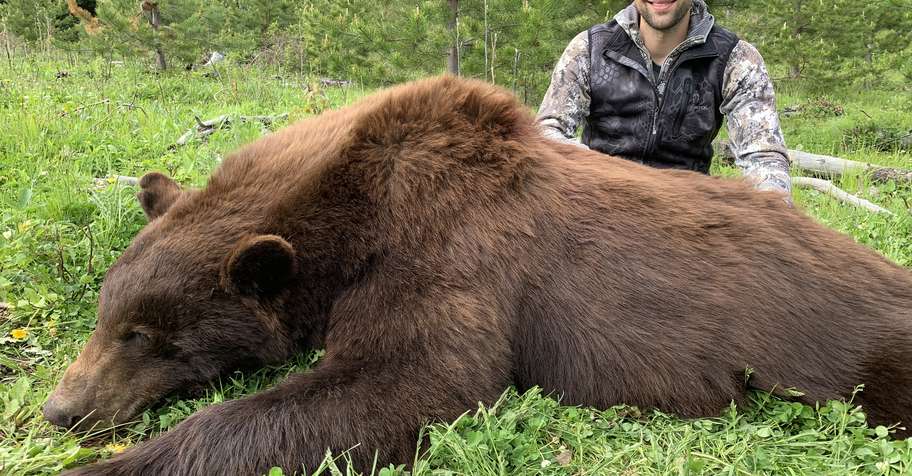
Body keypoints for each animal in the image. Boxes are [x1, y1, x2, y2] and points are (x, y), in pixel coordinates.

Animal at [45, 76, 912, 475]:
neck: (353, 200)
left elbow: (413, 380)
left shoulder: (449, 245)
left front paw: (114, 464)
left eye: (143, 334)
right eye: (104, 315)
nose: (62, 409)